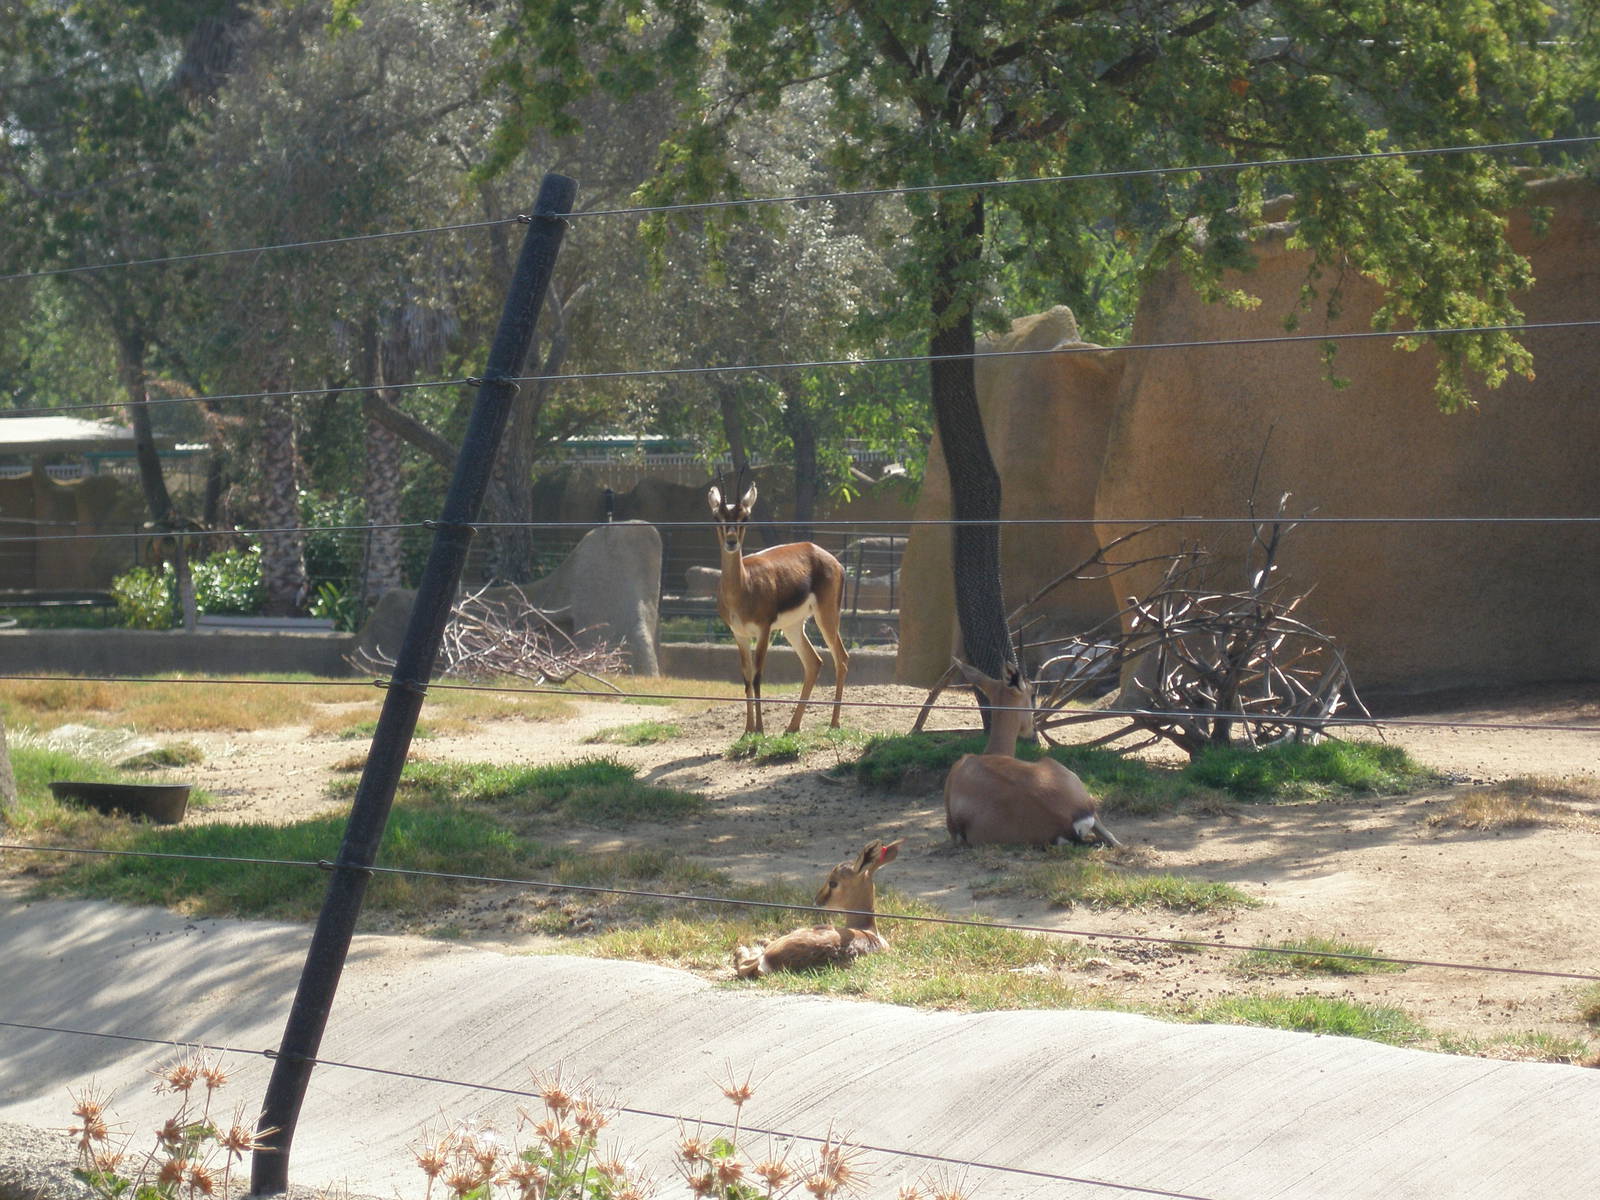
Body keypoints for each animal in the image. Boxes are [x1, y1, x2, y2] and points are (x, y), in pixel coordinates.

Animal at [707, 484, 849, 734]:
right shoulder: (739, 634)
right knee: (814, 662)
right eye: (718, 517)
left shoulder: (764, 630)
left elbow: (757, 675)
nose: (731, 542)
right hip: (793, 627)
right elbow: (746, 676)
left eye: (745, 517)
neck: (744, 585)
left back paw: (834, 723)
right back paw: (792, 727)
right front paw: (747, 731)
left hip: (826, 616)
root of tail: (830, 558)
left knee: (841, 658)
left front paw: (760, 730)